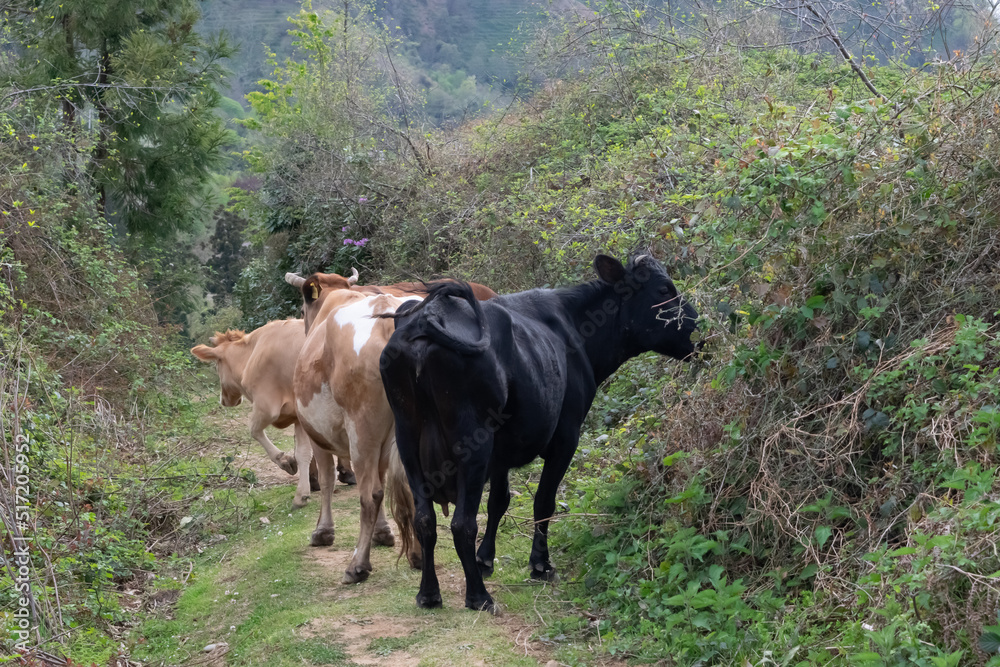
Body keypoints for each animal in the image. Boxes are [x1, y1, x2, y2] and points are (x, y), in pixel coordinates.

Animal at [190, 320, 355, 508]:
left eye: (217, 365)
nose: (223, 400)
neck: (252, 354)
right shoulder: (299, 415)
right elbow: (303, 453)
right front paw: (303, 493)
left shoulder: (267, 407)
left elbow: (254, 431)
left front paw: (285, 462)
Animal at [379, 253, 701, 612]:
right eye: (664, 290)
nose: (702, 330)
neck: (576, 330)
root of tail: (428, 319)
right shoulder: (565, 437)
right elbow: (543, 502)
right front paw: (540, 564)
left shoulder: (501, 452)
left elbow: (499, 501)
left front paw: (485, 559)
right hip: (473, 439)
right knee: (462, 522)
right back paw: (478, 596)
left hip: (408, 438)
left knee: (425, 519)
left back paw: (428, 593)